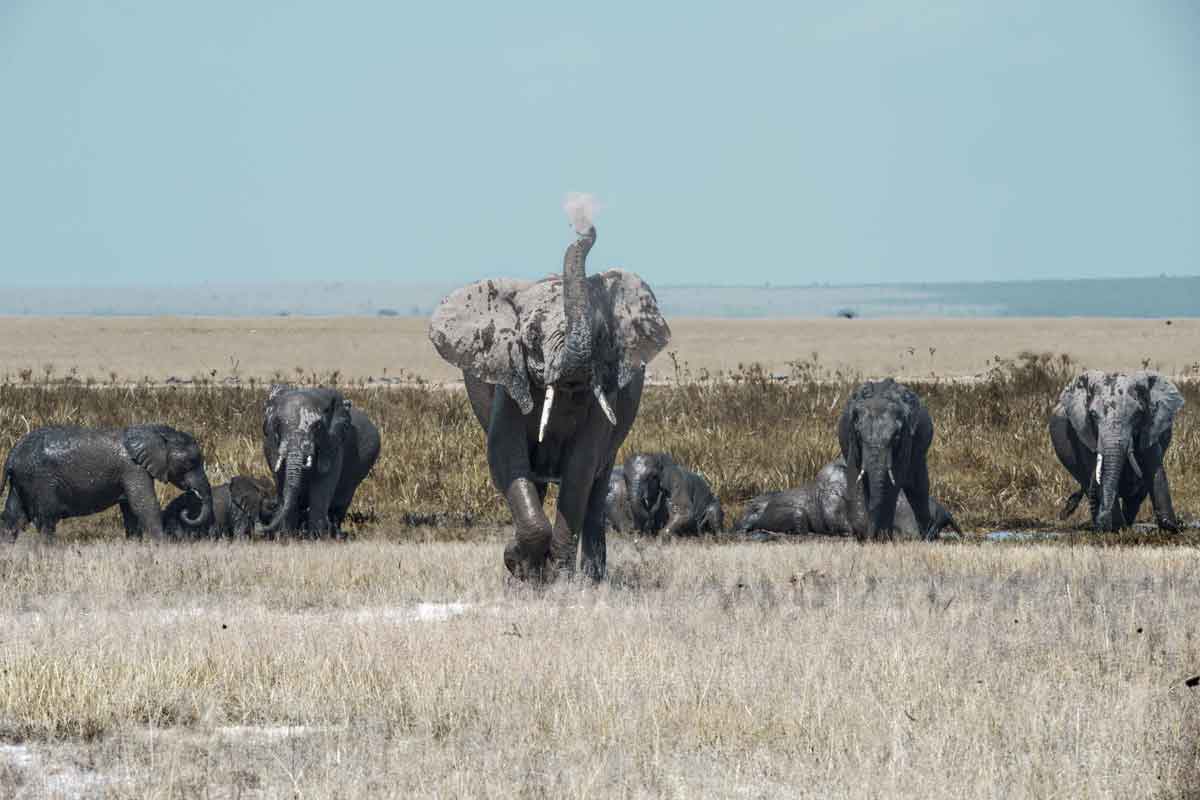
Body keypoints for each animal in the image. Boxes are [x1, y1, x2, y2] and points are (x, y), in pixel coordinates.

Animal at [0, 422, 213, 542]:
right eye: (191, 462)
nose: (187, 511)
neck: (156, 431)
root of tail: (11, 455)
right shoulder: (133, 469)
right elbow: (144, 505)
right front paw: (163, 544)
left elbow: (130, 509)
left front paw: (134, 545)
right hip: (39, 480)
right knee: (45, 519)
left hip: (21, 481)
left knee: (13, 517)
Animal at [258, 386, 379, 542]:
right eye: (278, 424)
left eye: (317, 426)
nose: (260, 527)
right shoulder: (273, 445)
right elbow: (282, 480)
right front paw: (287, 537)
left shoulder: (333, 443)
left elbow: (322, 485)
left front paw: (316, 538)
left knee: (340, 504)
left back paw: (335, 535)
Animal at [835, 379, 936, 542]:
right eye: (859, 435)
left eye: (895, 437)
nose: (869, 537)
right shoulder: (852, 441)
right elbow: (861, 480)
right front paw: (872, 539)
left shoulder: (906, 437)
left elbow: (894, 482)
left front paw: (884, 538)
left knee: (918, 487)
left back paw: (927, 536)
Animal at [1051, 371, 1180, 534]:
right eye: (1093, 415)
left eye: (1137, 414)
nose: (1063, 514)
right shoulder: (1083, 431)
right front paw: (1116, 528)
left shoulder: (1150, 426)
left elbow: (1154, 471)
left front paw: (1170, 526)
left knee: (1136, 496)